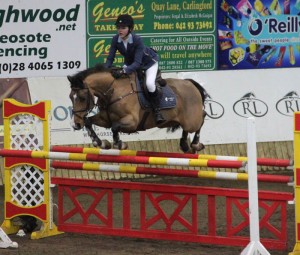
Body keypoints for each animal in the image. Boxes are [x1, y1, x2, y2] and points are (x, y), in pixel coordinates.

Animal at [67, 64, 209, 153]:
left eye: (82, 98)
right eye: (70, 97)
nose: (75, 124)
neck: (113, 91)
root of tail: (190, 83)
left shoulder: (132, 122)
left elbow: (115, 127)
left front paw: (120, 144)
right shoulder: (104, 119)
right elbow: (89, 121)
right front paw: (100, 143)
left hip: (191, 120)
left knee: (202, 117)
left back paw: (195, 144)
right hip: (176, 121)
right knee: (187, 129)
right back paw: (185, 145)